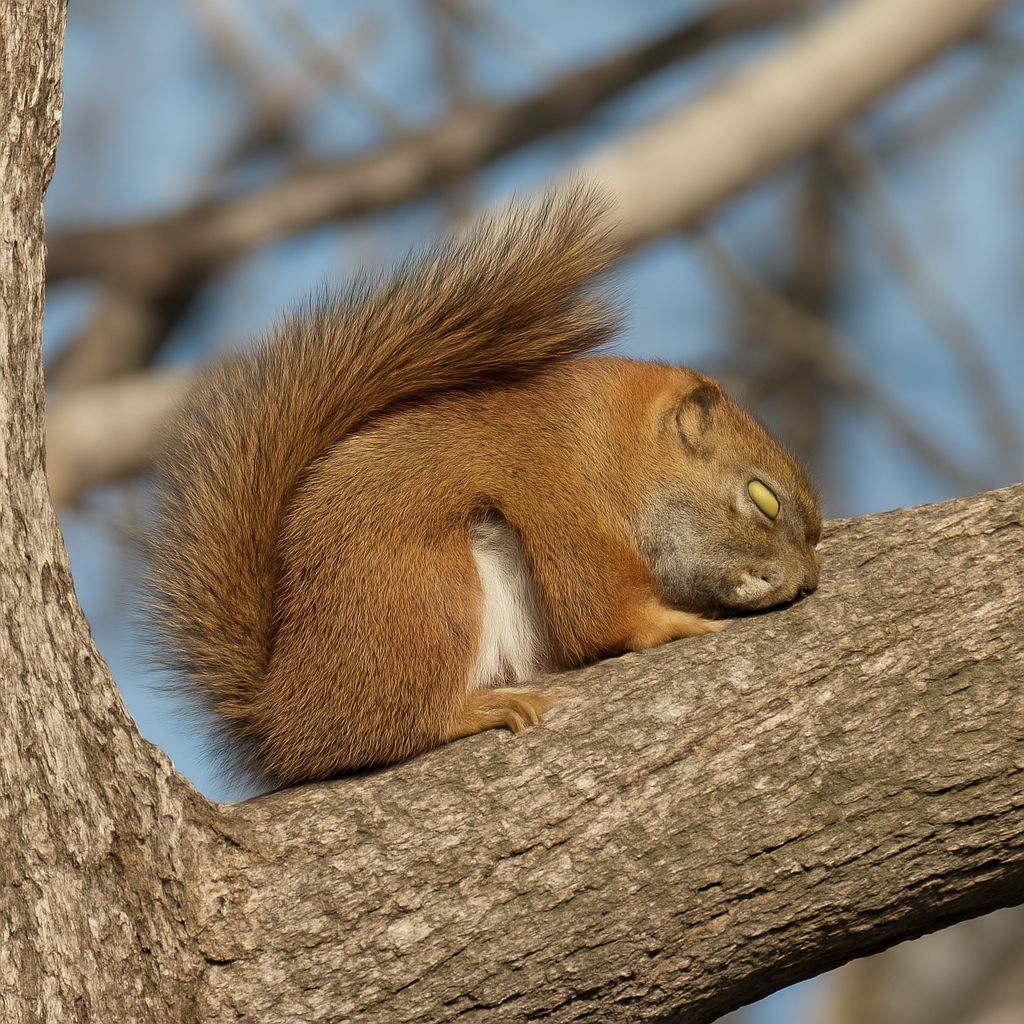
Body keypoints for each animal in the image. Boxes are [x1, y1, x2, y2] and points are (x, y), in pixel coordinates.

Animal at [146, 186, 822, 788]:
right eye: (763, 498)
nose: (806, 583)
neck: (612, 450)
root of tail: (282, 712)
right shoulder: (559, 495)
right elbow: (601, 613)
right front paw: (672, 624)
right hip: (427, 597)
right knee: (384, 729)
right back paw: (472, 710)